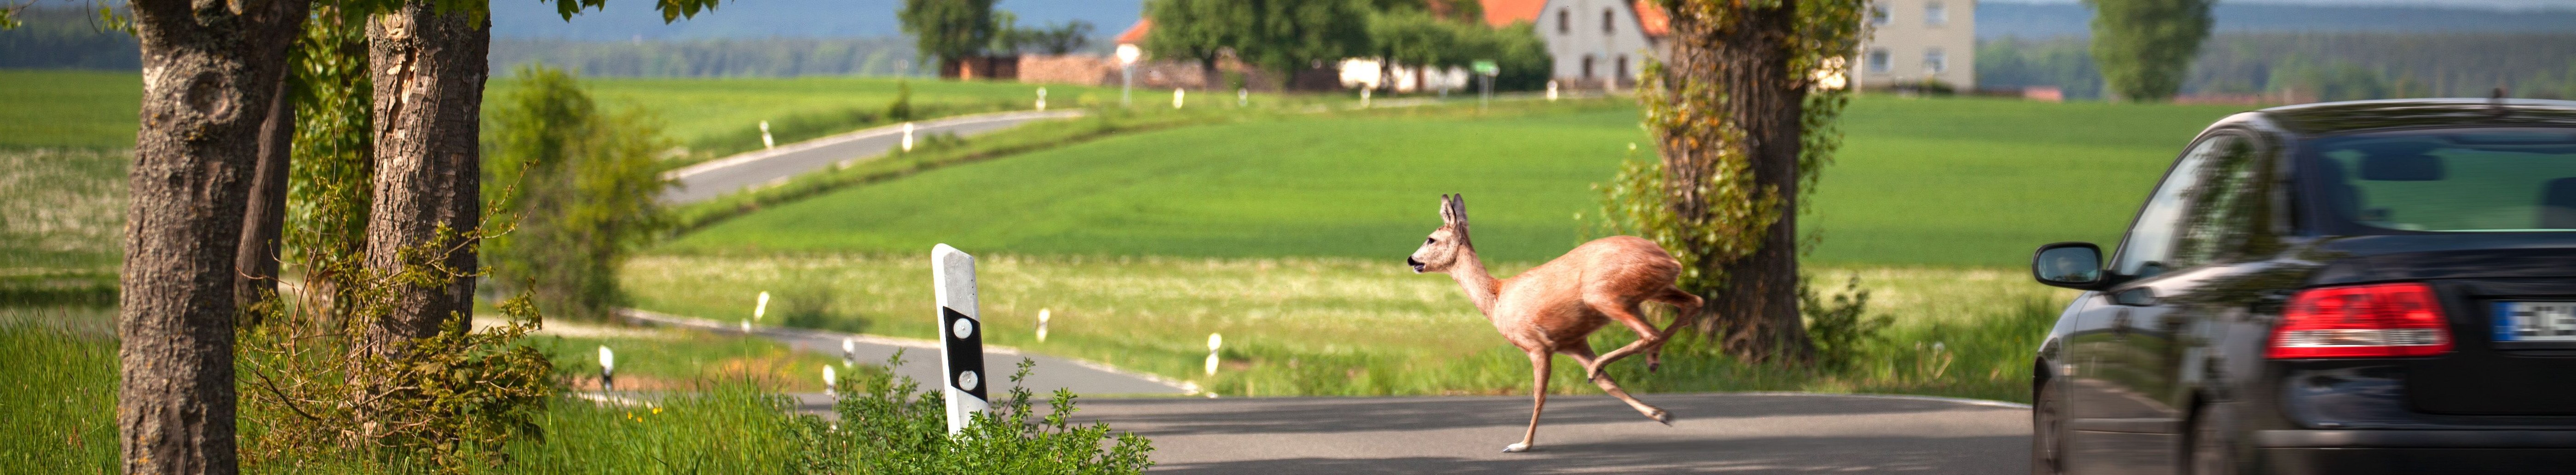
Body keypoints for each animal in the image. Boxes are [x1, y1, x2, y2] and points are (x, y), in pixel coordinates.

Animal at [1407, 194, 1702, 453]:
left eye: (1431, 239)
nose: (1411, 260)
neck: (1497, 299)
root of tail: (1672, 260)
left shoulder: (1537, 345)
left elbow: (1540, 395)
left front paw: (1521, 445)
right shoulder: (1573, 343)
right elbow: (1611, 386)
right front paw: (1660, 414)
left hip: (1605, 295)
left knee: (1652, 331)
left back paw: (1612, 365)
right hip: (1649, 292)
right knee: (1693, 303)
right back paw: (1642, 364)